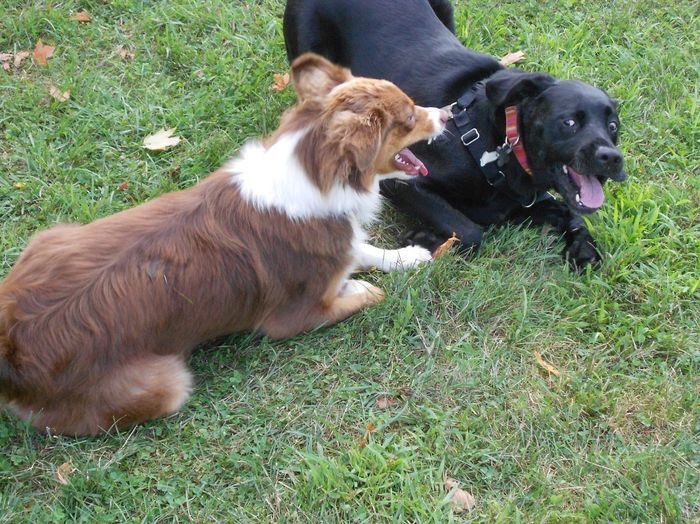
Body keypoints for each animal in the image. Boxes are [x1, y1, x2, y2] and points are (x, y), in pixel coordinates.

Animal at [0, 53, 447, 436]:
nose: (447, 113)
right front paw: (359, 285)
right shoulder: (293, 318)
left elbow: (364, 249)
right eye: (409, 117)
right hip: (168, 383)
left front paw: (410, 256)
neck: (312, 169)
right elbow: (365, 291)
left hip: (55, 235)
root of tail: (13, 355)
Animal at [284, 0, 627, 268]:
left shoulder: (531, 202)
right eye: (569, 122)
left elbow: (574, 215)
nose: (611, 158)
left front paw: (583, 250)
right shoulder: (402, 180)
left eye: (613, 127)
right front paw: (428, 237)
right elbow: (471, 231)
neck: (497, 144)